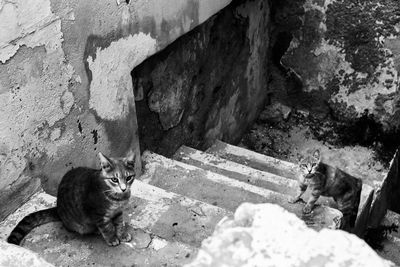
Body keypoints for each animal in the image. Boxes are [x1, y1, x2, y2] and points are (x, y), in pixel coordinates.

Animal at [7, 152, 136, 248]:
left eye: (129, 178)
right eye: (114, 179)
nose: (123, 189)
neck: (117, 197)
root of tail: (58, 209)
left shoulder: (118, 211)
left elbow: (119, 224)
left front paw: (122, 235)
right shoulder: (97, 214)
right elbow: (107, 228)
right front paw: (112, 238)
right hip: (79, 225)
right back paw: (95, 230)